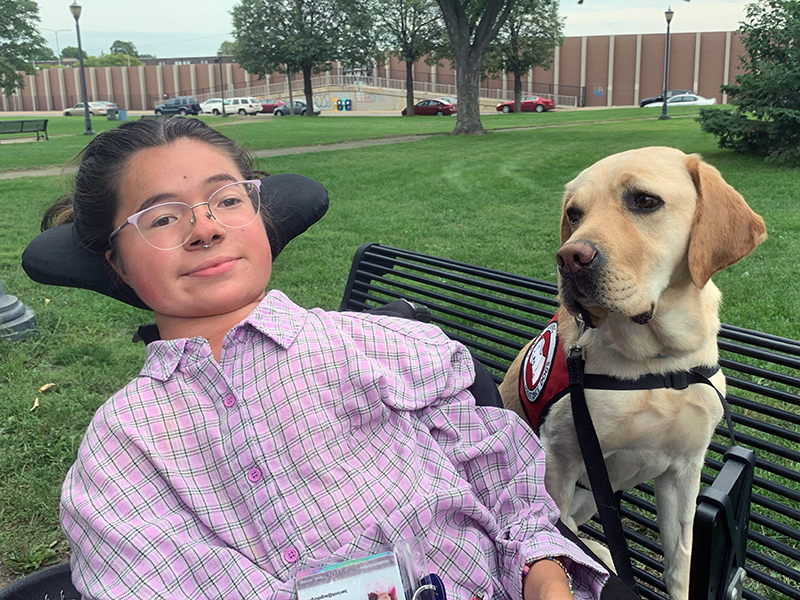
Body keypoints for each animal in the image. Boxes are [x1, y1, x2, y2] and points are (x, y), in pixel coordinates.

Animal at [500, 148, 768, 600]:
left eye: (644, 201)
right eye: (574, 213)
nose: (569, 258)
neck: (657, 361)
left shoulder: (683, 470)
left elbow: (680, 562)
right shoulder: (560, 461)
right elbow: (557, 539)